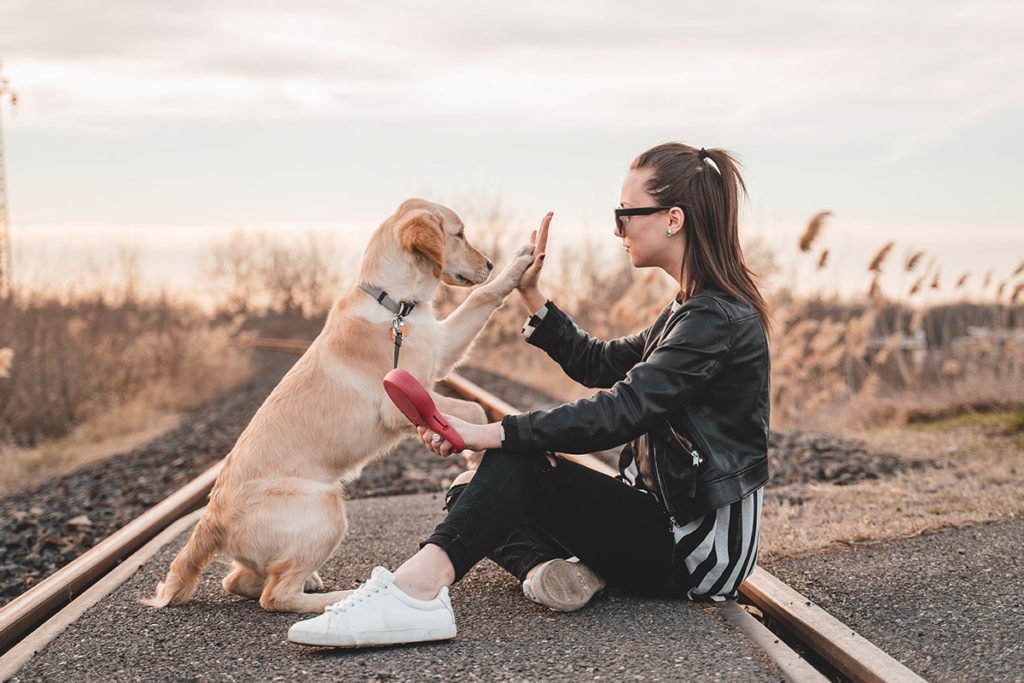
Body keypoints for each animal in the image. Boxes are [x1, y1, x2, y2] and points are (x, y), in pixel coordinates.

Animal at [147, 198, 532, 614]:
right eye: (459, 234)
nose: (490, 264)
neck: (394, 305)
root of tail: (211, 519)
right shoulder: (400, 400)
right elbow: (475, 411)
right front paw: (475, 459)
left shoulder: (441, 349)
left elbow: (481, 298)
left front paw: (517, 265)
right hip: (327, 507)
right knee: (275, 595)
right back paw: (341, 597)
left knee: (238, 581)